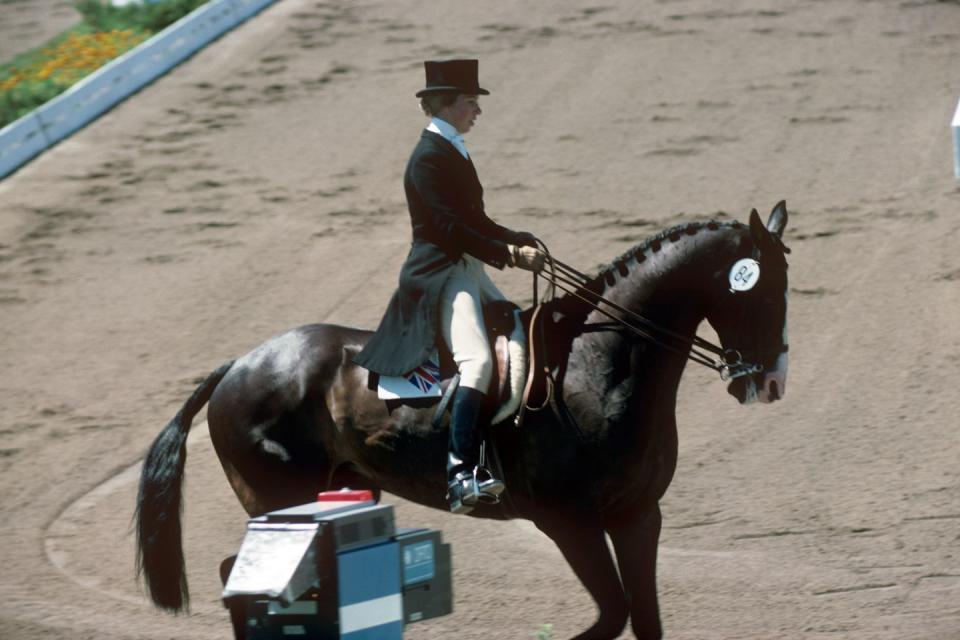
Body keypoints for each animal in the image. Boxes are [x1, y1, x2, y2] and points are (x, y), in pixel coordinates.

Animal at [137, 201, 796, 640]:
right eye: (764, 293)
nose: (770, 383)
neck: (599, 364)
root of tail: (240, 365)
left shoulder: (638, 515)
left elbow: (645, 619)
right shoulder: (567, 522)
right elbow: (613, 616)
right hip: (280, 497)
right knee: (248, 581)